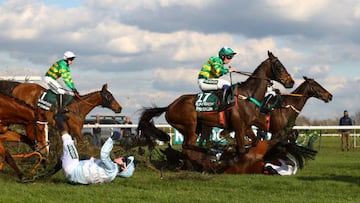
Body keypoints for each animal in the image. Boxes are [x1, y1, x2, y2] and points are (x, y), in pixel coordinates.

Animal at [139, 51, 294, 160]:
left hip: (193, 128)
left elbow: (255, 141)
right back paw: (209, 151)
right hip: (189, 124)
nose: (291, 82)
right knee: (188, 145)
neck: (247, 96)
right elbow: (241, 148)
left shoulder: (247, 126)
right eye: (279, 66)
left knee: (188, 146)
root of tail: (170, 106)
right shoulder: (238, 127)